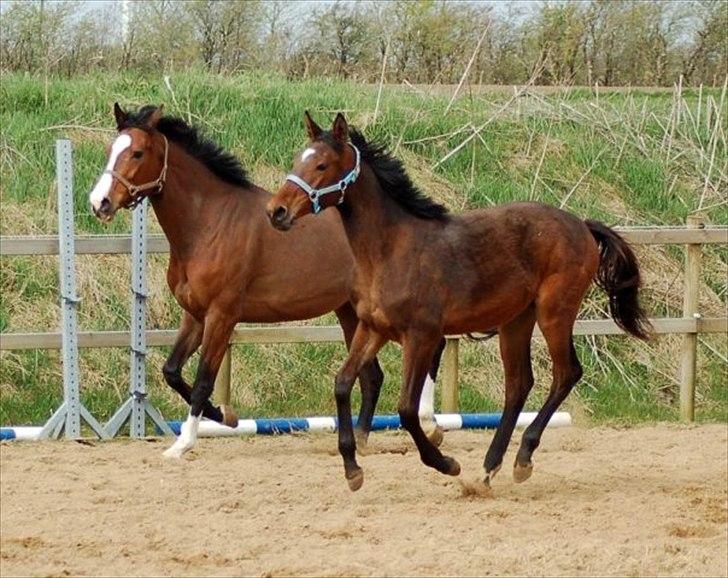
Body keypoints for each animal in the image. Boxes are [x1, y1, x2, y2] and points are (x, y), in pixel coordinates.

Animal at [88, 102, 446, 454]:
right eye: (110, 150)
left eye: (137, 153)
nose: (99, 203)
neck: (209, 224)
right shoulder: (195, 314)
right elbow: (172, 372)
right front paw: (224, 416)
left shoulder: (222, 315)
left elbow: (203, 380)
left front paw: (185, 443)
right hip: (351, 313)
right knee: (372, 376)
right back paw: (360, 439)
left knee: (433, 345)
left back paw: (429, 425)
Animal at [264, 110, 652, 488]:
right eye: (299, 159)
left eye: (321, 165)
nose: (276, 211)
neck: (391, 250)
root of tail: (583, 225)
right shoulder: (372, 328)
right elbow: (343, 384)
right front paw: (352, 468)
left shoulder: (422, 336)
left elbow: (406, 408)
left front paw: (446, 464)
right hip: (516, 319)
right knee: (519, 384)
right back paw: (488, 469)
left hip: (554, 312)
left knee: (566, 373)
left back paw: (521, 459)